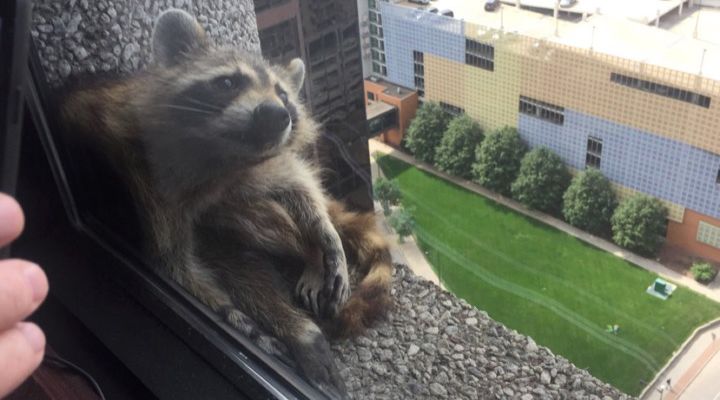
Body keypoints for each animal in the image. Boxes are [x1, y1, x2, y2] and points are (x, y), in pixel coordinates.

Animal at [60, 9, 393, 397]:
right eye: (229, 82)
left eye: (283, 94)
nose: (276, 114)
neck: (217, 157)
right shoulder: (149, 184)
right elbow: (177, 266)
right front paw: (244, 320)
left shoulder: (249, 164)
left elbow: (294, 180)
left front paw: (322, 235)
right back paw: (298, 324)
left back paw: (309, 258)